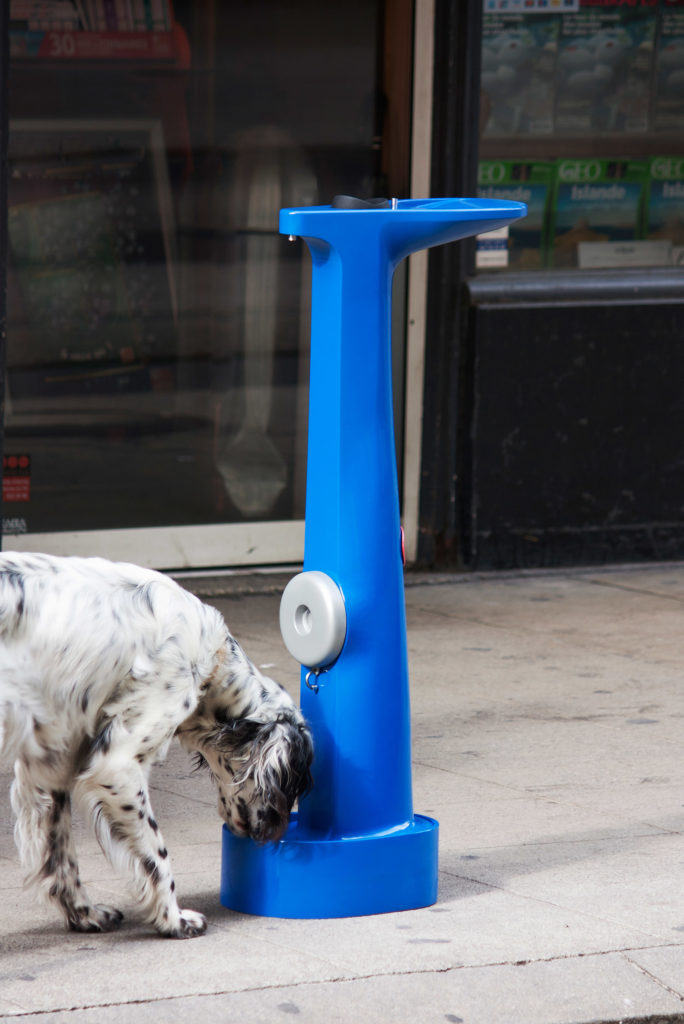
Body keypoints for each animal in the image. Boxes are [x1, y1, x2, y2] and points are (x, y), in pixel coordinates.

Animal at [0, 552, 313, 937]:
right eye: (290, 784)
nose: (274, 832)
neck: (213, 659)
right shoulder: (117, 766)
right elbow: (156, 854)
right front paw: (174, 918)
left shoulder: (51, 764)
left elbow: (60, 853)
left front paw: (85, 914)